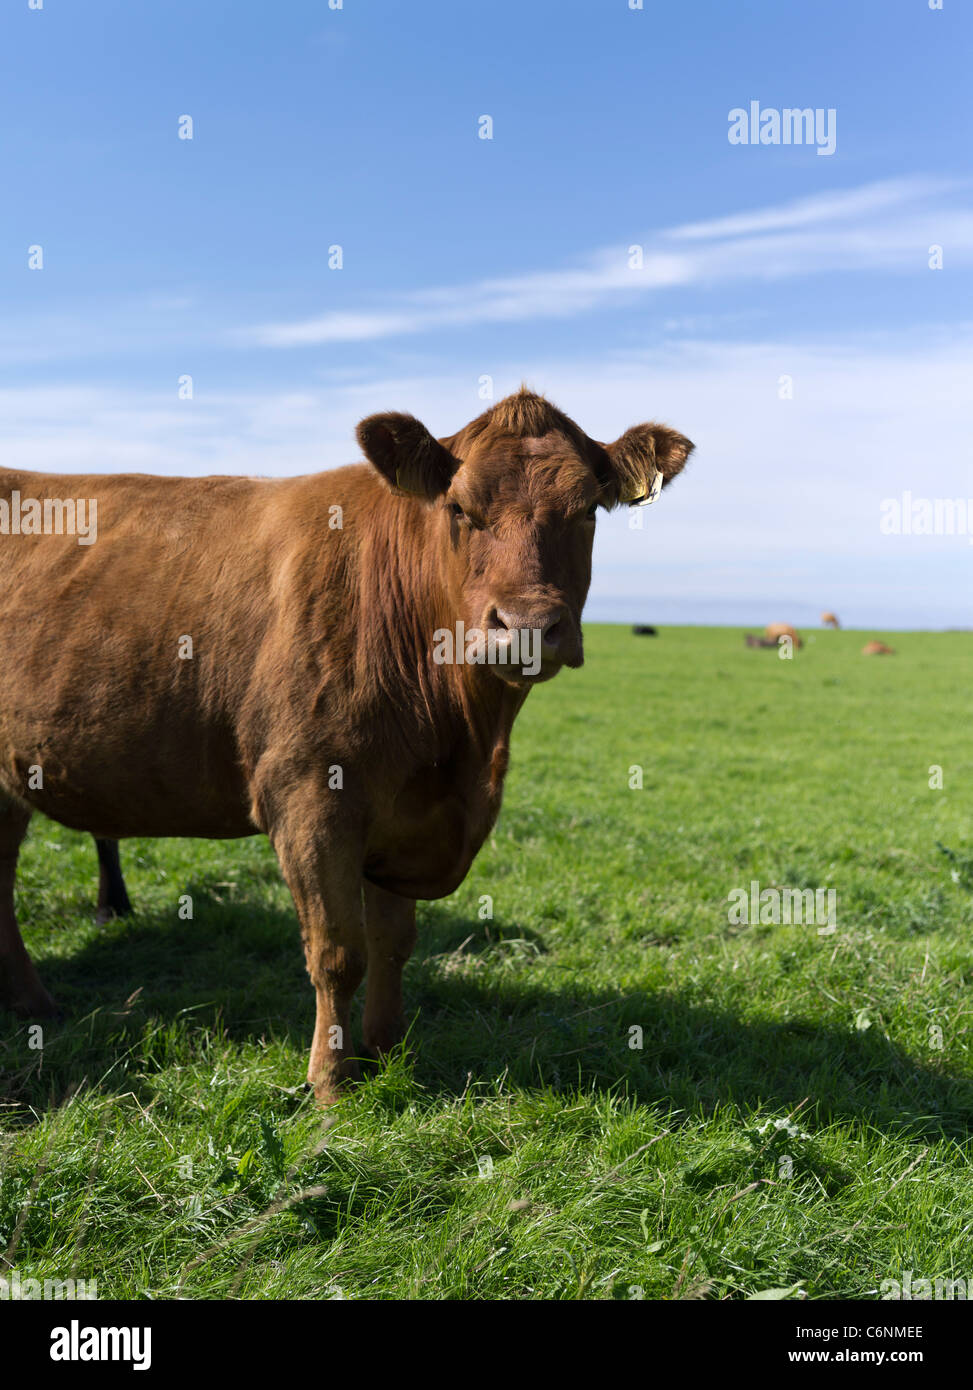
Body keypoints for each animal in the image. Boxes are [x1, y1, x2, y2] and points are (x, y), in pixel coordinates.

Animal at [0, 386, 692, 1100]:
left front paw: (387, 1051)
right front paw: (331, 1084)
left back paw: (33, 1003)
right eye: (459, 508)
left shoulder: (406, 814)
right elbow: (338, 952)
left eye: (586, 512)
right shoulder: (309, 797)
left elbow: (392, 943)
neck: (462, 743)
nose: (526, 626)